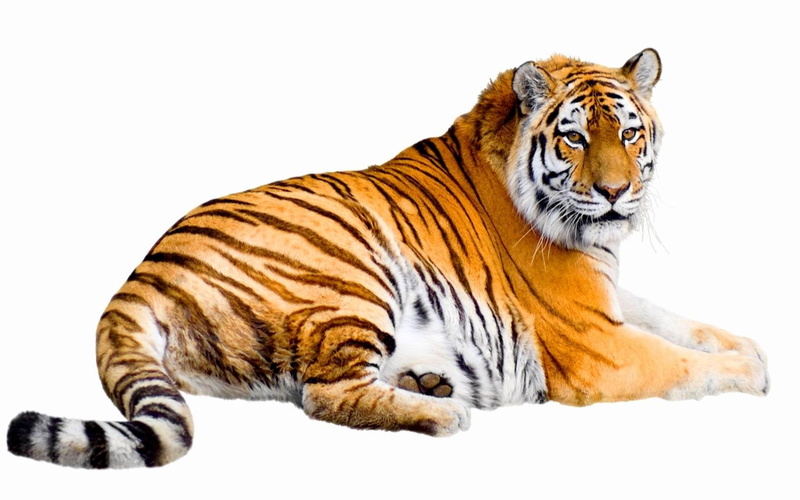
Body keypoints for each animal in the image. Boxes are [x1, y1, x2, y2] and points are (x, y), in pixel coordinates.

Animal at [7, 49, 769, 469]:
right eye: (576, 138)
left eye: (631, 133)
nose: (616, 192)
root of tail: (140, 274)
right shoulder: (595, 345)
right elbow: (679, 362)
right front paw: (752, 373)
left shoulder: (608, 298)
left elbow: (678, 322)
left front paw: (749, 345)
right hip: (352, 276)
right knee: (323, 394)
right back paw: (442, 413)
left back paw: (429, 382)